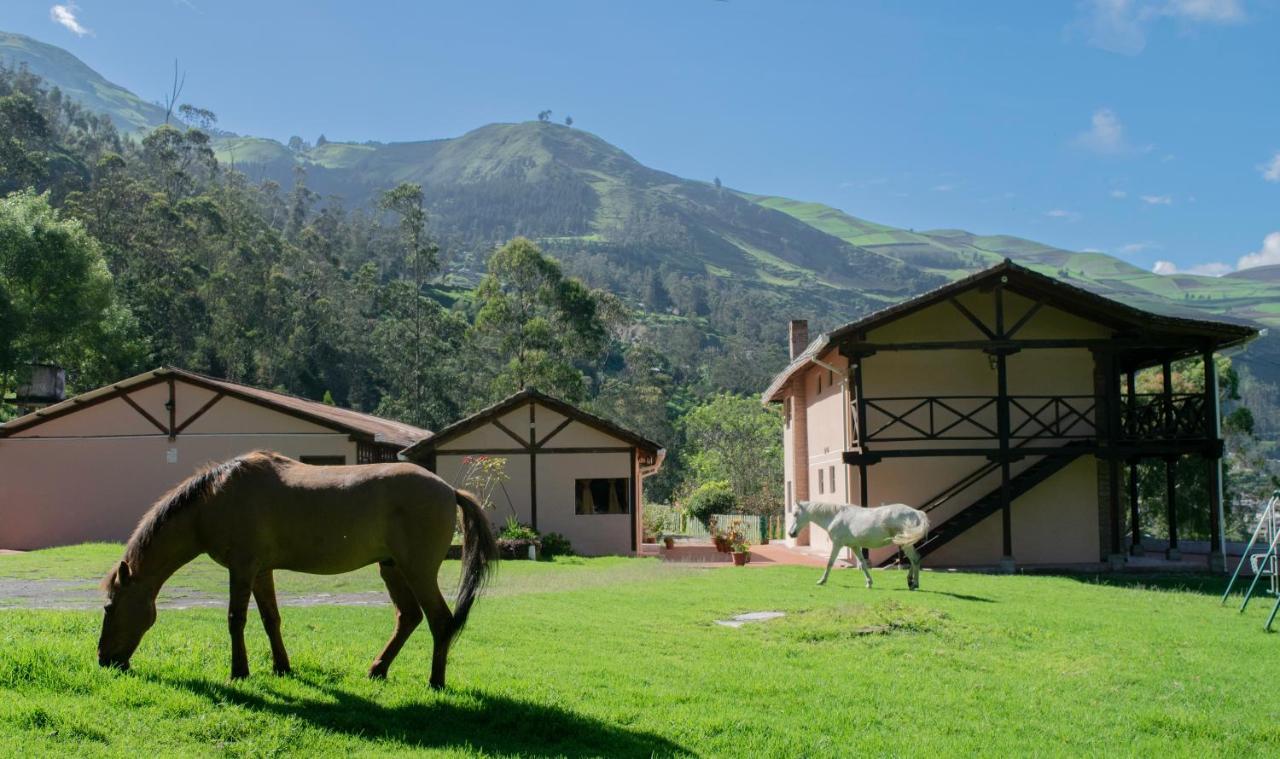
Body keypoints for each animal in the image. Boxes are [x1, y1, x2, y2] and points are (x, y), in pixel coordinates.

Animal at [97, 450, 496, 686]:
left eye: (109, 607)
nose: (104, 659)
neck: (214, 500)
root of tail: (449, 490)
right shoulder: (260, 571)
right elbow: (270, 619)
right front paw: (281, 667)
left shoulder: (241, 569)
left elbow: (235, 619)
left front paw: (239, 672)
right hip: (392, 568)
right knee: (409, 617)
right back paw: (377, 669)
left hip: (418, 572)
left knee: (440, 621)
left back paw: (435, 681)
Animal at [788, 504, 931, 591]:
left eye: (795, 514)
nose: (791, 533)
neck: (835, 516)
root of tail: (917, 513)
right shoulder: (855, 546)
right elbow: (863, 564)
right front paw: (869, 582)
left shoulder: (837, 545)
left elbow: (830, 563)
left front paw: (822, 581)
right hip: (905, 543)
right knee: (914, 559)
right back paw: (910, 582)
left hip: (905, 544)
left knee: (915, 559)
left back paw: (914, 583)